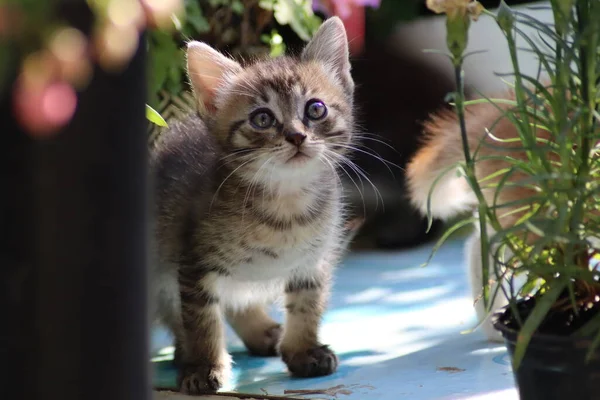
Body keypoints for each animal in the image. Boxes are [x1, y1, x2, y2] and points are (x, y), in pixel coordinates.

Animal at [150, 18, 356, 394]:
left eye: (315, 109)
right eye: (262, 119)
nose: (296, 136)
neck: (286, 209)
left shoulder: (312, 261)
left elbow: (307, 304)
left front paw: (303, 350)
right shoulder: (194, 262)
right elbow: (201, 319)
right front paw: (204, 366)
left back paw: (263, 332)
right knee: (177, 309)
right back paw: (186, 352)